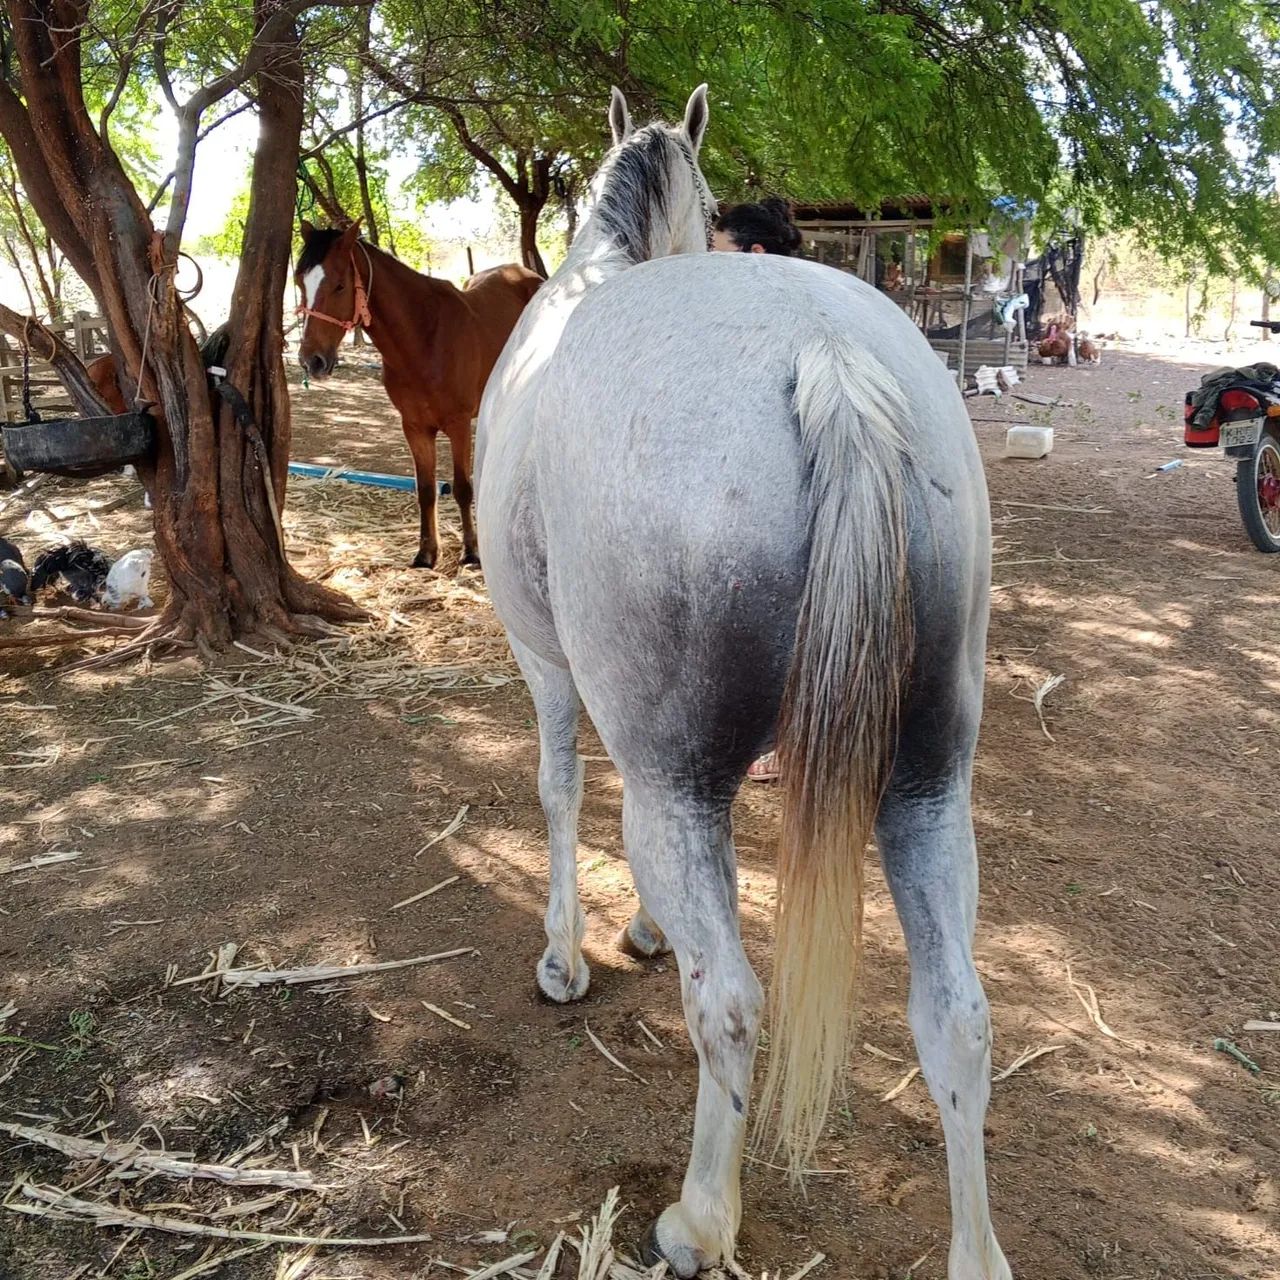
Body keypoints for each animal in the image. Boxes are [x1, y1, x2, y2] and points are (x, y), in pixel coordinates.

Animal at [295, 223, 542, 568]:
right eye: (299, 282)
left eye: (340, 286)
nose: (312, 360)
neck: (424, 338)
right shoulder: (414, 427)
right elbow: (425, 489)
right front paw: (426, 553)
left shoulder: (457, 424)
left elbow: (462, 488)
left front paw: (471, 551)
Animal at [476, 86, 1011, 1280]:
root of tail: (825, 358)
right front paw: (643, 931)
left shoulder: (548, 667)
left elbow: (558, 791)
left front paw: (568, 955)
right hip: (927, 786)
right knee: (954, 1013)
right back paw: (974, 1247)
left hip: (680, 785)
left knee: (727, 1001)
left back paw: (698, 1216)